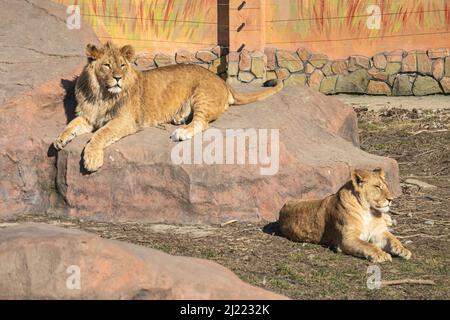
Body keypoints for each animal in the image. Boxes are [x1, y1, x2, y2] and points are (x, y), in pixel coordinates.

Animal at [54, 43, 284, 172]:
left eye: (122, 65)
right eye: (107, 66)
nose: (118, 78)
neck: (101, 95)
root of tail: (222, 80)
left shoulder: (125, 121)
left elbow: (100, 134)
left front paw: (92, 159)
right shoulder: (87, 117)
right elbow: (71, 125)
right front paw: (59, 140)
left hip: (202, 94)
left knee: (202, 122)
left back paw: (181, 132)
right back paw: (180, 117)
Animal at [278, 168, 412, 262]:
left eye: (386, 186)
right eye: (377, 186)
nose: (391, 199)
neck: (368, 211)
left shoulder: (378, 232)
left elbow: (393, 239)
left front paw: (403, 250)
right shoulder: (347, 239)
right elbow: (368, 245)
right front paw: (381, 254)